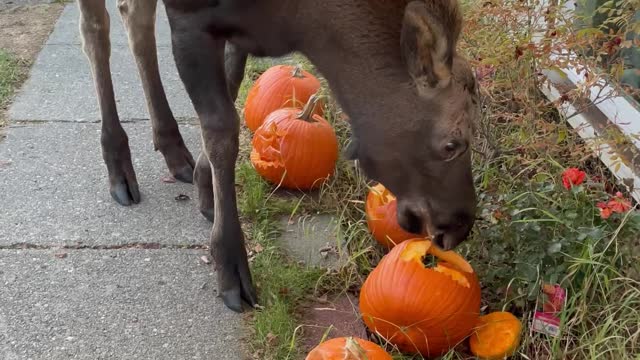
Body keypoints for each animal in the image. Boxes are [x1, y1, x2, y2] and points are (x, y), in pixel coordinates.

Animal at [77, 0, 480, 312]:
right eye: (452, 144)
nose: (459, 225)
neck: (302, 23)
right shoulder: (190, 17)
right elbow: (221, 128)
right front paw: (231, 267)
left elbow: (230, 92)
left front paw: (205, 190)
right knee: (96, 28)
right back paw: (118, 164)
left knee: (134, 17)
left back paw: (174, 149)